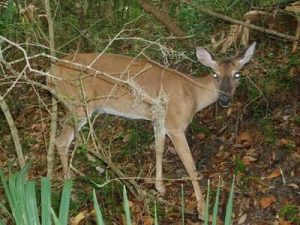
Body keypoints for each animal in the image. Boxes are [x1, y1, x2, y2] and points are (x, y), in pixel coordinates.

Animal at [47, 42, 255, 218]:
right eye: (215, 75)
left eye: (237, 74)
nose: (225, 100)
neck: (193, 95)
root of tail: (50, 72)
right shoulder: (175, 125)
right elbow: (190, 164)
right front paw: (203, 210)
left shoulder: (159, 119)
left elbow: (159, 148)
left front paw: (159, 187)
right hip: (77, 103)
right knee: (61, 140)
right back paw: (70, 192)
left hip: (80, 107)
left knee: (74, 136)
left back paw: (96, 164)